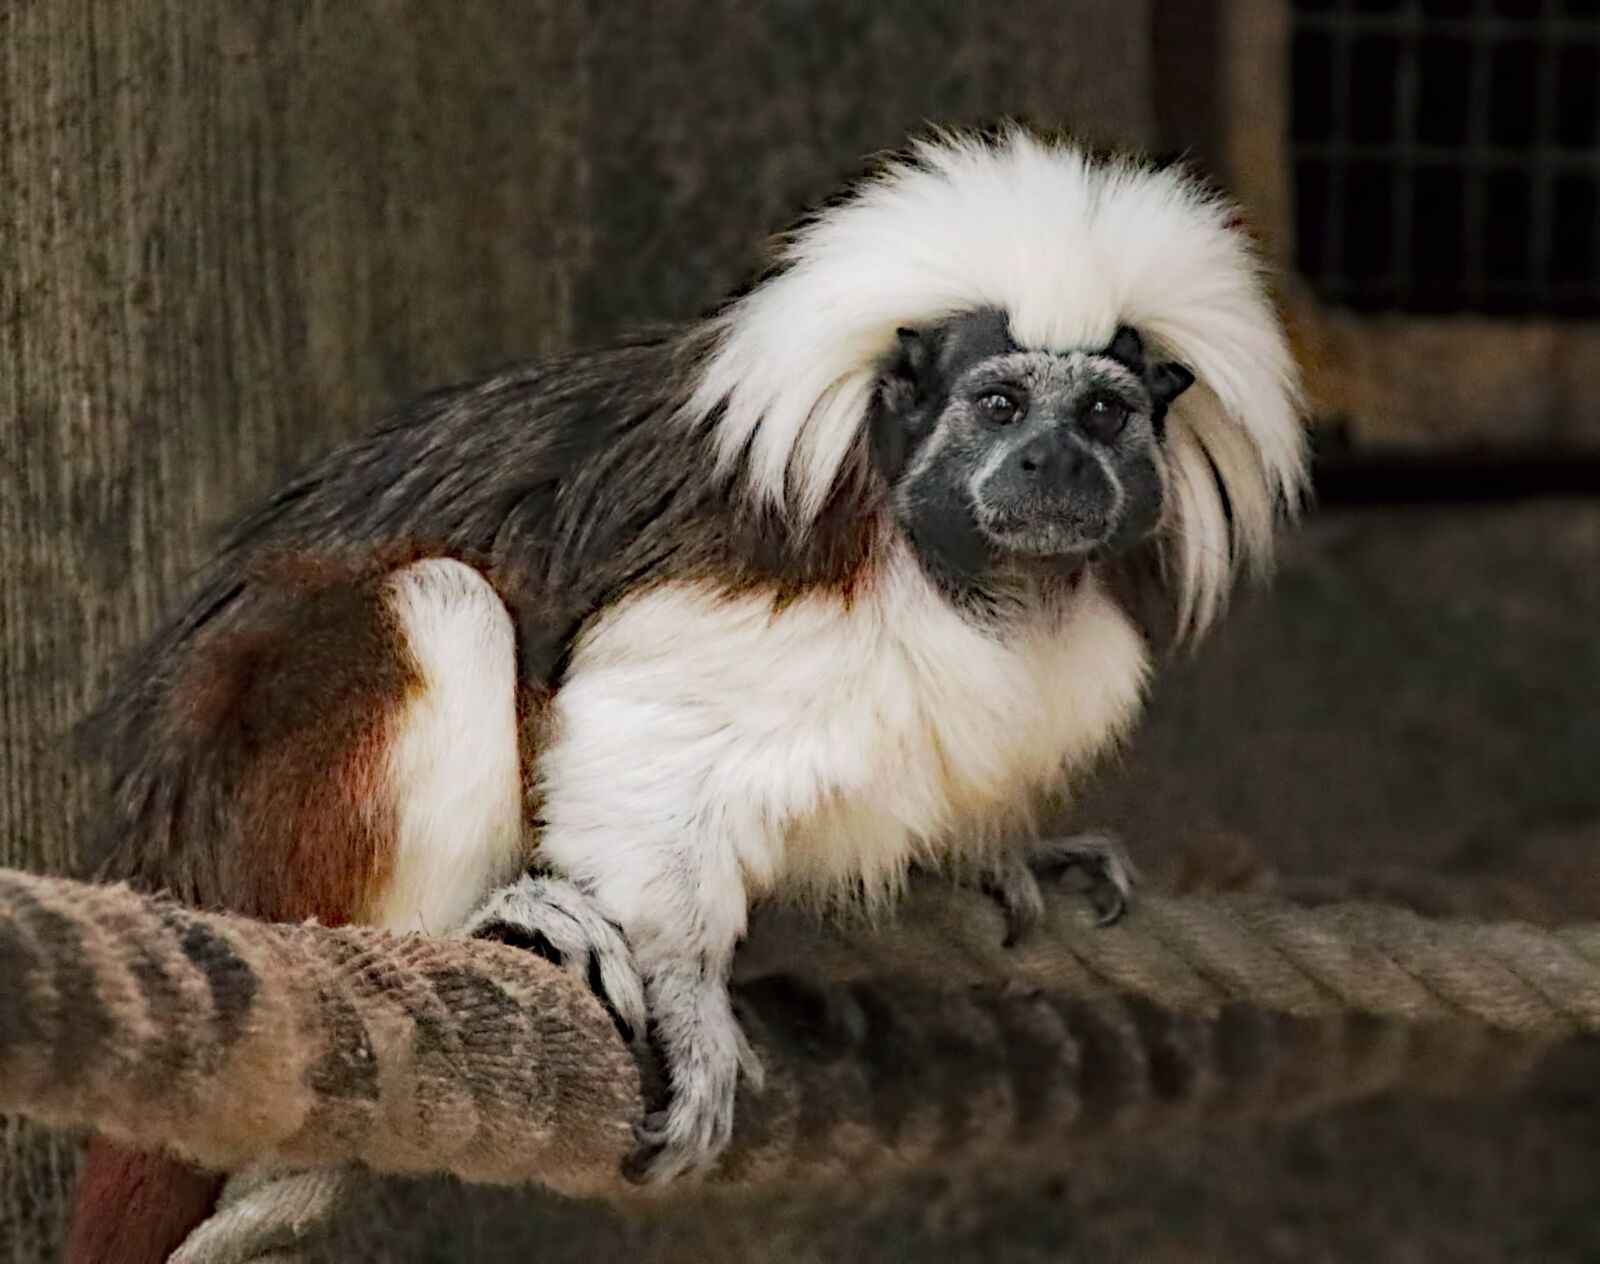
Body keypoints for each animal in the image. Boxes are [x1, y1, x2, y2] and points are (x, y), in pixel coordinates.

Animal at [65, 125, 1305, 1256]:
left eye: (1100, 414)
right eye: (1000, 407)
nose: (1052, 465)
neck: (967, 571)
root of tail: (166, 848)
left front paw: (1002, 854)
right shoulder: (767, 588)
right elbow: (643, 742)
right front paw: (688, 996)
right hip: (266, 811)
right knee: (437, 602)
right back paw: (483, 918)